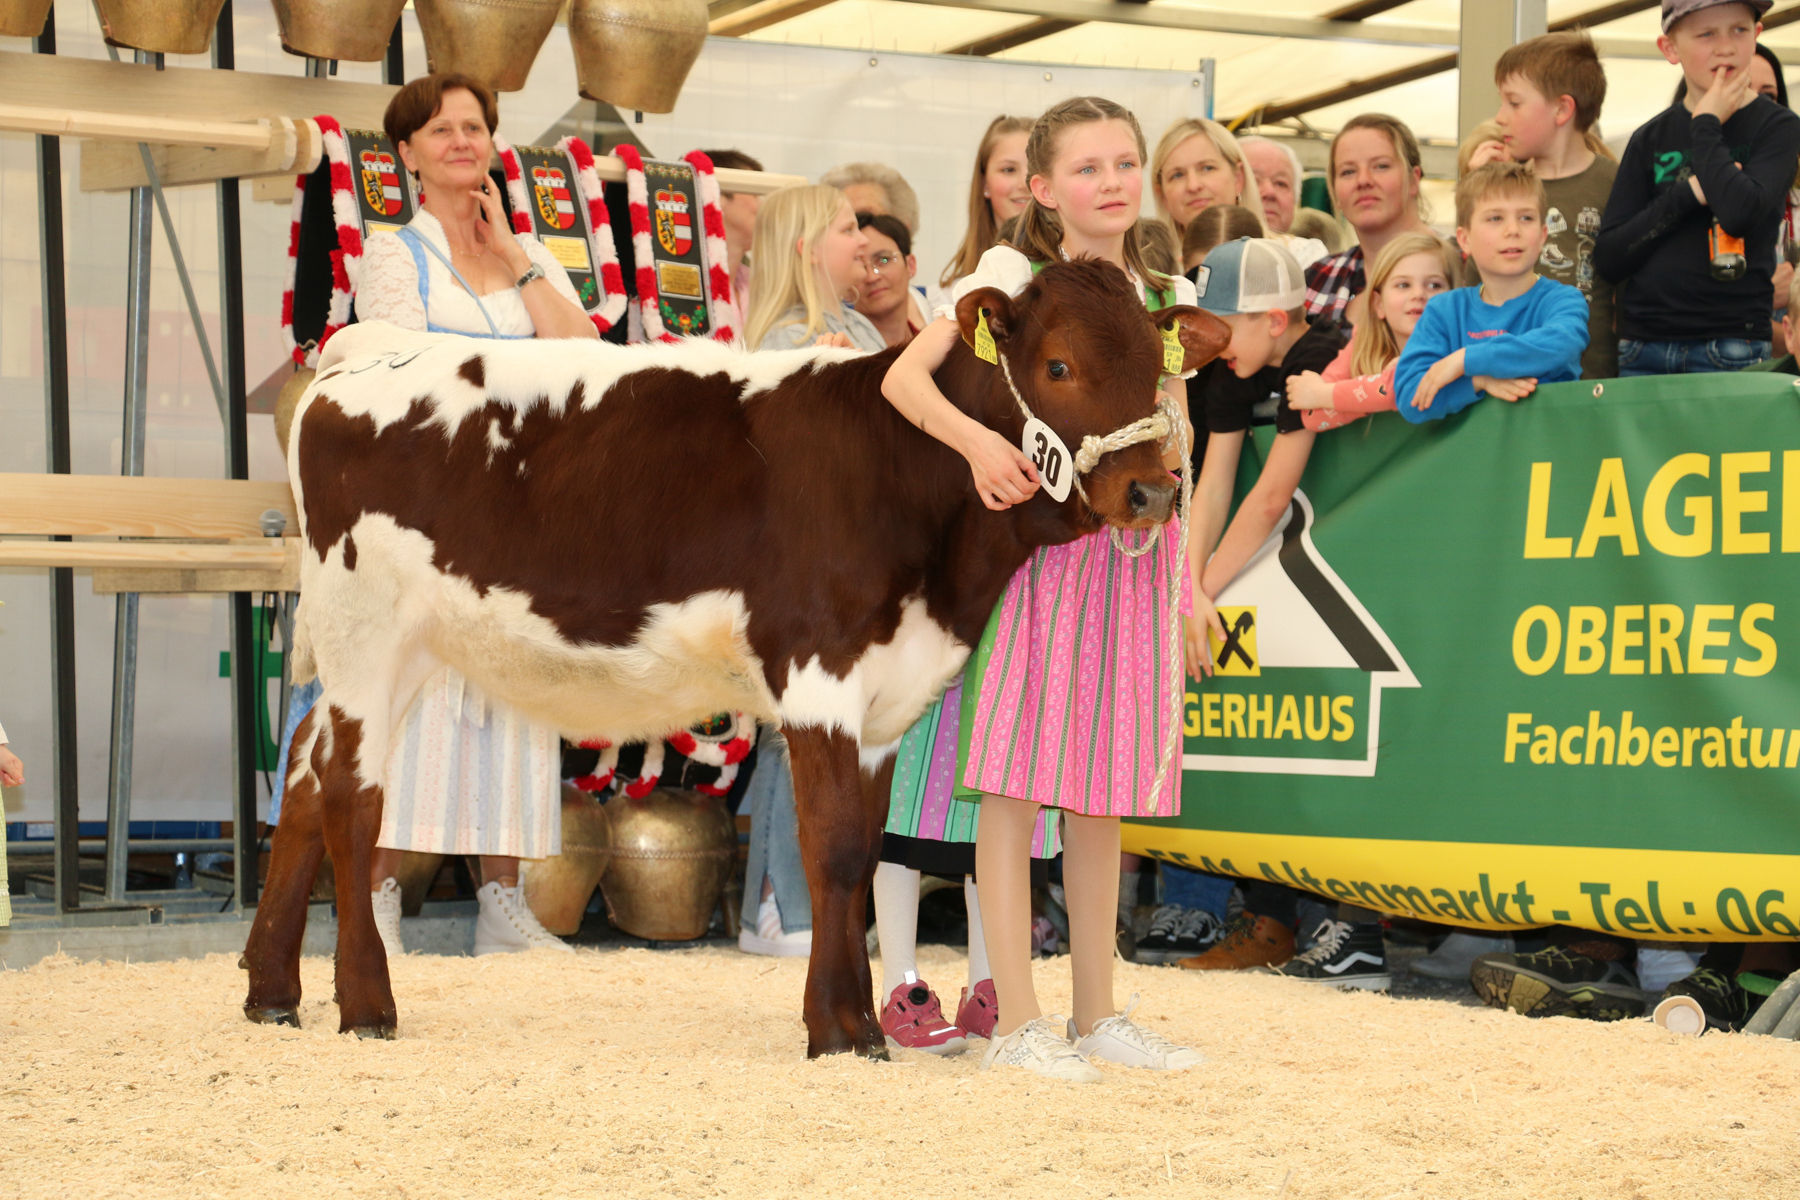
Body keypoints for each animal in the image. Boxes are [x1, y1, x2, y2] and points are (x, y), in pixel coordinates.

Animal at [243, 259, 1224, 1057]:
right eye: (1058, 366)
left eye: (1161, 365)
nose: (1153, 489)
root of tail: (364, 348)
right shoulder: (820, 669)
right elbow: (833, 848)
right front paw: (841, 1029)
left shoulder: (885, 697)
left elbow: (863, 854)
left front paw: (849, 1020)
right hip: (366, 628)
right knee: (349, 800)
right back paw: (365, 1004)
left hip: (404, 651)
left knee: (304, 774)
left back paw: (272, 991)